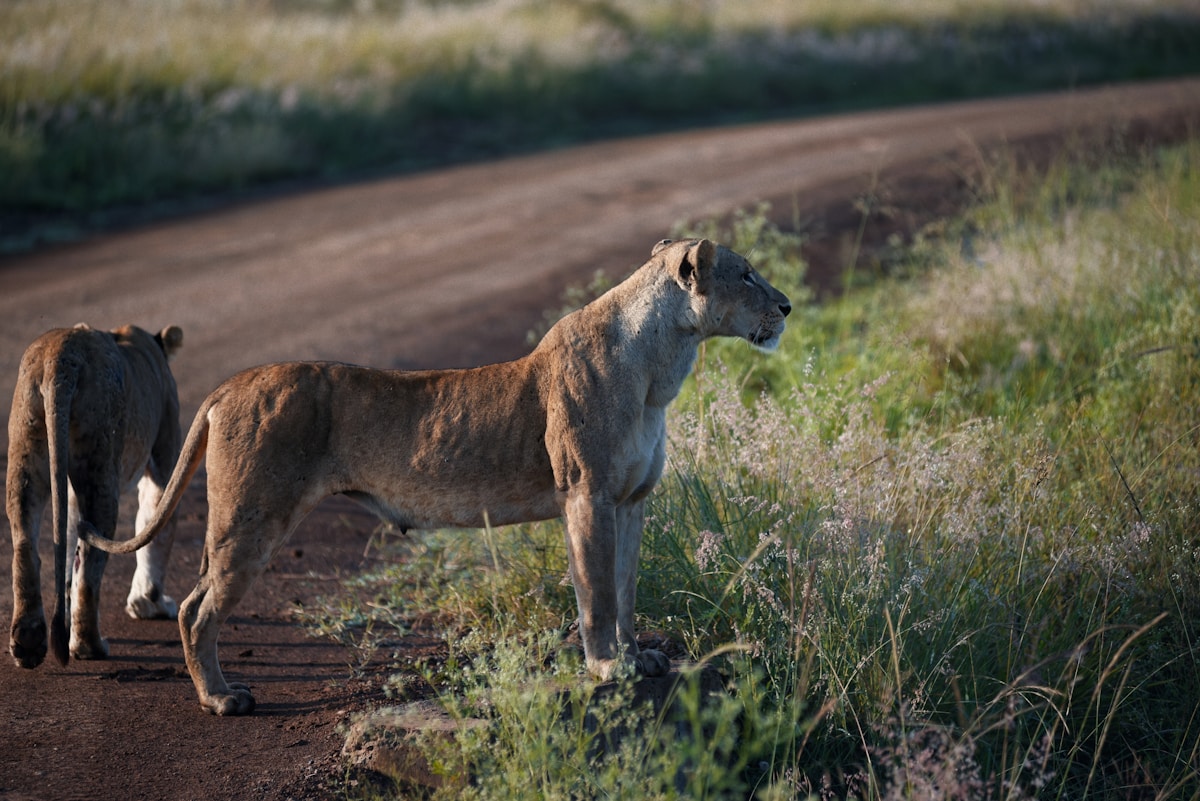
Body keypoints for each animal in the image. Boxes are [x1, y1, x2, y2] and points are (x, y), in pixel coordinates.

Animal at [8, 323, 184, 669]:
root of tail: (60, 356)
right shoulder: (164, 460)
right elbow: (155, 529)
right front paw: (150, 603)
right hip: (100, 468)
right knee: (90, 561)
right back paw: (89, 646)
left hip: (26, 452)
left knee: (26, 544)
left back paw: (28, 643)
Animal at [81, 239, 790, 715]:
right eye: (746, 274)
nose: (784, 305)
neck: (662, 361)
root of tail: (228, 384)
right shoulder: (586, 495)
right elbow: (596, 592)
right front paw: (606, 669)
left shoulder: (630, 502)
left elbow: (626, 588)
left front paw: (638, 657)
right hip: (250, 519)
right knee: (196, 608)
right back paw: (221, 698)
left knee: (197, 601)